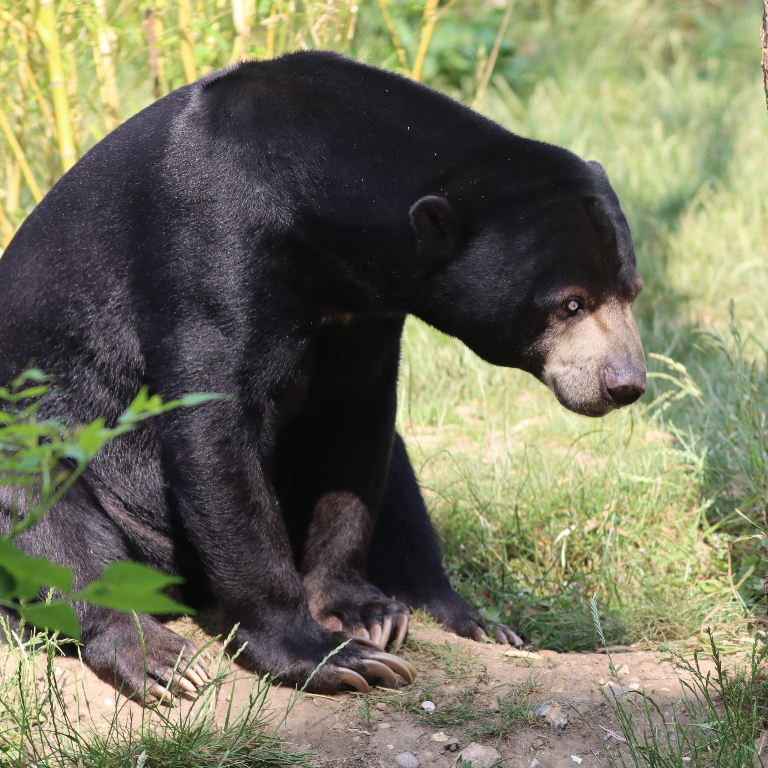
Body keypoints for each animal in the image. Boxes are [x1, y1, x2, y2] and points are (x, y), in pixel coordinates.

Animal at [0, 51, 645, 700]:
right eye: (570, 303)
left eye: (631, 291)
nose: (625, 384)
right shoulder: (209, 245)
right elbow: (213, 427)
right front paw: (327, 655)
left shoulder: (364, 314)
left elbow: (354, 425)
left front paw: (362, 613)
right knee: (44, 505)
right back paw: (158, 655)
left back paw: (469, 618)